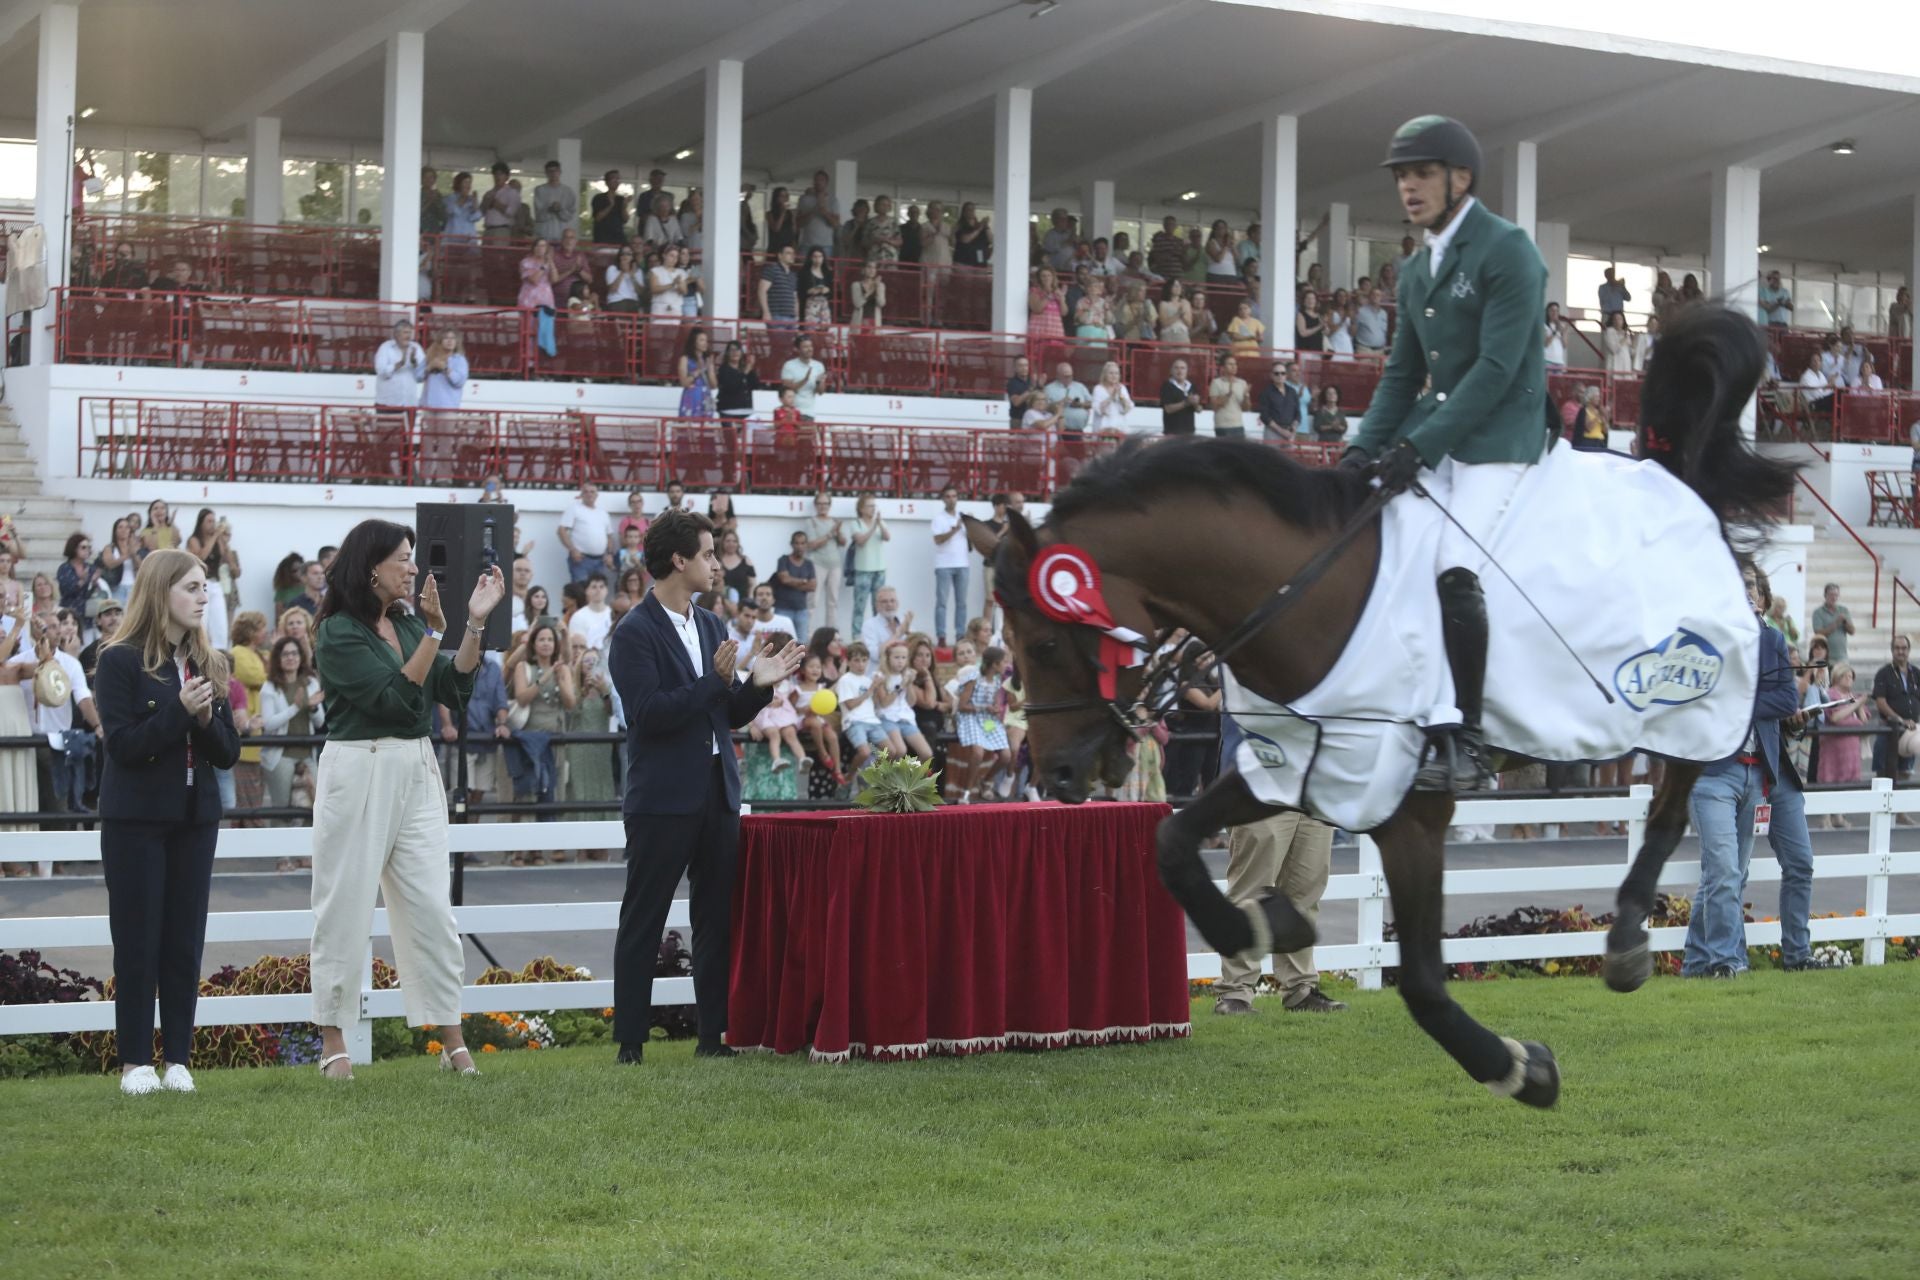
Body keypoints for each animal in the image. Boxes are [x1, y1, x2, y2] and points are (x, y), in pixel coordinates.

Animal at [975, 305, 1797, 1105]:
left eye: (1044, 643)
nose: (1057, 776)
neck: (1305, 595)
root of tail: (1671, 477)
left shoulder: (1409, 807)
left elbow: (1425, 984)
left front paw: (1519, 1070)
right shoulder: (1297, 765)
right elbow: (1174, 841)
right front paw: (1265, 921)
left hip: (1691, 705)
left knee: (1671, 803)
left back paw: (1626, 940)